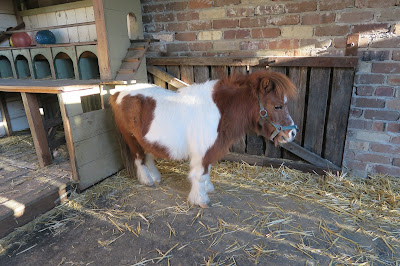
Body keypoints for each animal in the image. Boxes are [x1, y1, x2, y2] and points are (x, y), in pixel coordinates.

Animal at [109, 70, 296, 208]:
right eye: (278, 106)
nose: (292, 133)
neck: (219, 111)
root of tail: (117, 92)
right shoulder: (202, 152)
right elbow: (200, 175)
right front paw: (200, 200)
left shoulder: (210, 149)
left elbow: (206, 172)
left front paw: (208, 189)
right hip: (130, 137)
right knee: (138, 158)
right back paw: (147, 180)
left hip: (145, 138)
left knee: (147, 155)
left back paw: (155, 177)